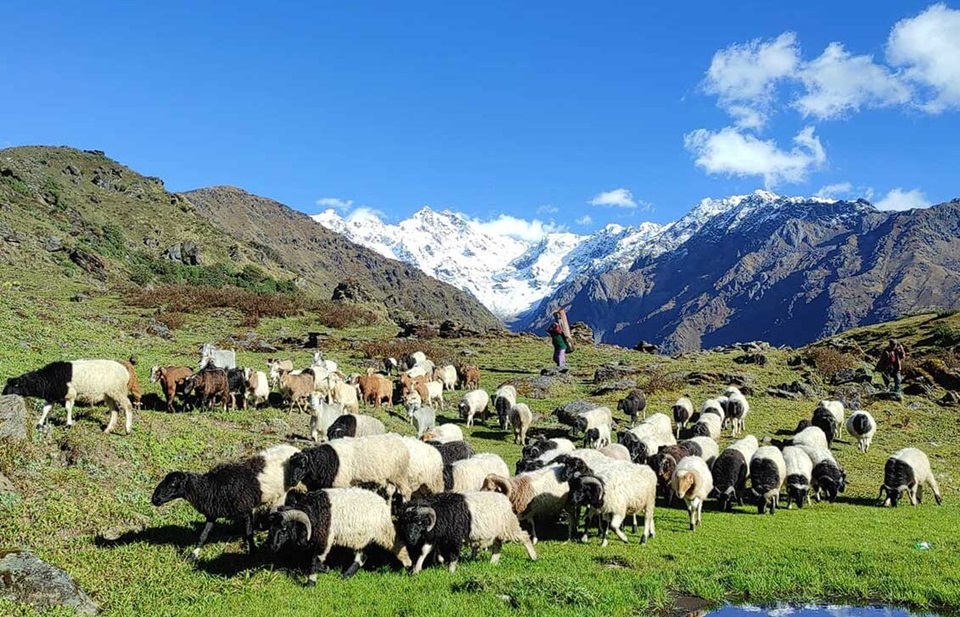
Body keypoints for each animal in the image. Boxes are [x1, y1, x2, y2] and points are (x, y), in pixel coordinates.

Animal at [4, 359, 134, 434]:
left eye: (15, 385)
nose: (3, 394)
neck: (47, 379)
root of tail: (126, 372)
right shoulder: (52, 397)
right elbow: (45, 410)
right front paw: (39, 424)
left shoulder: (70, 394)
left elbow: (68, 409)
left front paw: (68, 424)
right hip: (109, 394)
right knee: (115, 410)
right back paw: (108, 430)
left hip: (118, 391)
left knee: (128, 406)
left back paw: (127, 429)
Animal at [151, 444, 299, 559]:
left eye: (172, 484)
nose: (154, 499)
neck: (212, 487)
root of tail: (292, 447)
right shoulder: (212, 513)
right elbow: (203, 535)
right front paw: (192, 556)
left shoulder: (246, 510)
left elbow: (249, 534)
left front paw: (252, 553)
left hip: (283, 492)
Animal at [267, 487, 411, 581]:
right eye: (271, 528)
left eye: (284, 529)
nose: (272, 547)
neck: (313, 513)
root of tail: (383, 504)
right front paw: (325, 569)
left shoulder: (325, 538)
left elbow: (315, 561)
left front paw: (311, 583)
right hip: (360, 538)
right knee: (361, 557)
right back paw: (346, 576)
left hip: (385, 531)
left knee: (399, 545)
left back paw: (409, 568)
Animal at [398, 491, 537, 573]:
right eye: (405, 523)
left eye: (419, 522)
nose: (410, 539)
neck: (441, 510)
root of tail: (505, 499)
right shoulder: (435, 536)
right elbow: (424, 551)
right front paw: (416, 570)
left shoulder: (455, 537)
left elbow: (454, 554)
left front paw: (451, 571)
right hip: (496, 533)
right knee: (497, 546)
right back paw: (493, 563)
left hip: (509, 527)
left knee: (524, 537)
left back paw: (534, 557)